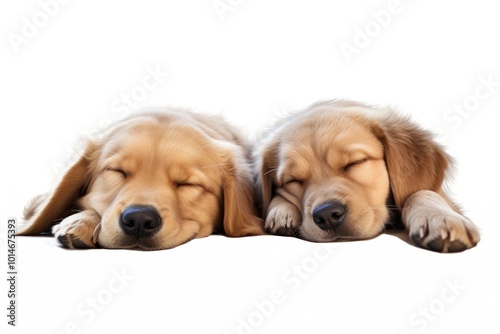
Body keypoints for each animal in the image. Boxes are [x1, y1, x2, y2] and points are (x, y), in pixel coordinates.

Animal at [258, 100, 480, 252]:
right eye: (292, 181)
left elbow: (420, 192)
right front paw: (282, 210)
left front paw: (439, 218)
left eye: (355, 162)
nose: (327, 214)